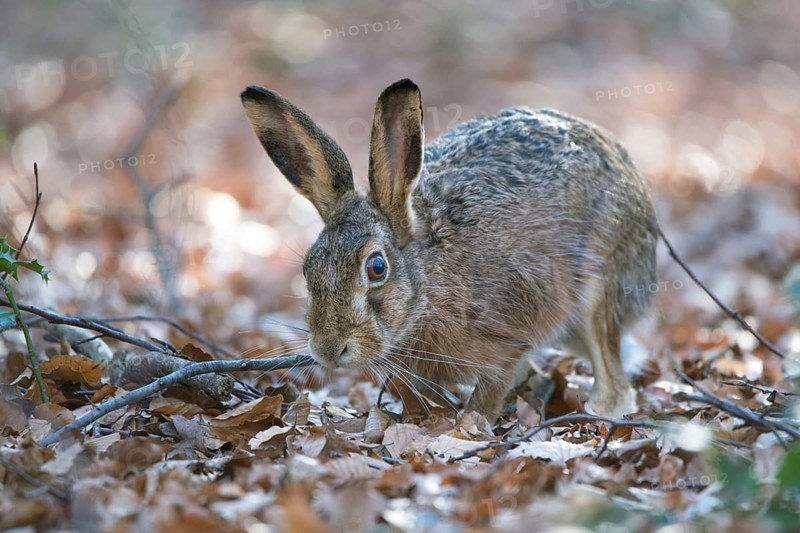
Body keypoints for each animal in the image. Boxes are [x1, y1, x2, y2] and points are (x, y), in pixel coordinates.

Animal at [241, 79, 658, 421]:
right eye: (308, 268)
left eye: (376, 267)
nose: (329, 349)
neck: (427, 282)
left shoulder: (509, 340)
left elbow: (490, 391)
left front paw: (469, 424)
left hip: (600, 284)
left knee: (613, 373)